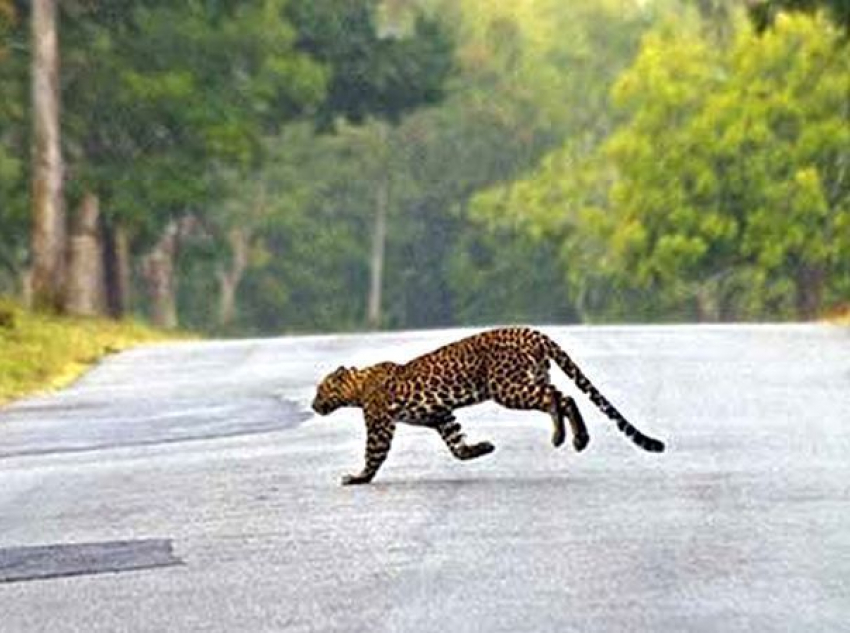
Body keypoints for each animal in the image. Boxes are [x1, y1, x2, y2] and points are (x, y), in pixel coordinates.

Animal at [312, 326, 664, 484]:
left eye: (320, 389)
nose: (313, 404)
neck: (359, 384)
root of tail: (533, 333)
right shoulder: (441, 415)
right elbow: (456, 444)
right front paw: (481, 449)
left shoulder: (380, 423)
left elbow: (374, 453)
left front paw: (358, 477)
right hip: (532, 376)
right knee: (563, 396)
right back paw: (576, 438)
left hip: (507, 388)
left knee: (558, 398)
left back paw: (564, 437)